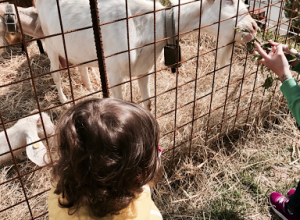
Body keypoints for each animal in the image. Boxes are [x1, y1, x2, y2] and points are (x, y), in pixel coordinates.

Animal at [0, 0, 258, 110]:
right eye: (230, 1)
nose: (254, 27)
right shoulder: (114, 73)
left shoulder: (145, 69)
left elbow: (148, 101)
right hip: (51, 42)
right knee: (55, 72)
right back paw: (64, 101)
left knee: (81, 64)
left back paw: (89, 86)